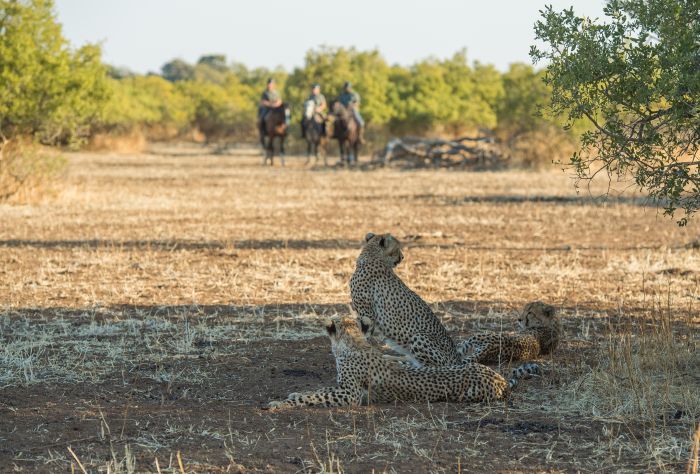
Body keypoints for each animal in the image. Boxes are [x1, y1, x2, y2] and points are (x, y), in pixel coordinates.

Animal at [266, 316, 540, 410]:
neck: (354, 342)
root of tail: (498, 378)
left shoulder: (350, 395)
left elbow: (315, 395)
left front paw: (282, 402)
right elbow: (319, 390)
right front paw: (290, 396)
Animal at [348, 233, 460, 366]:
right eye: (397, 248)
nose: (402, 257)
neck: (372, 255)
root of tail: (456, 359)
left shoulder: (367, 313)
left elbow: (367, 335)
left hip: (419, 337)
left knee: (428, 367)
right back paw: (391, 358)